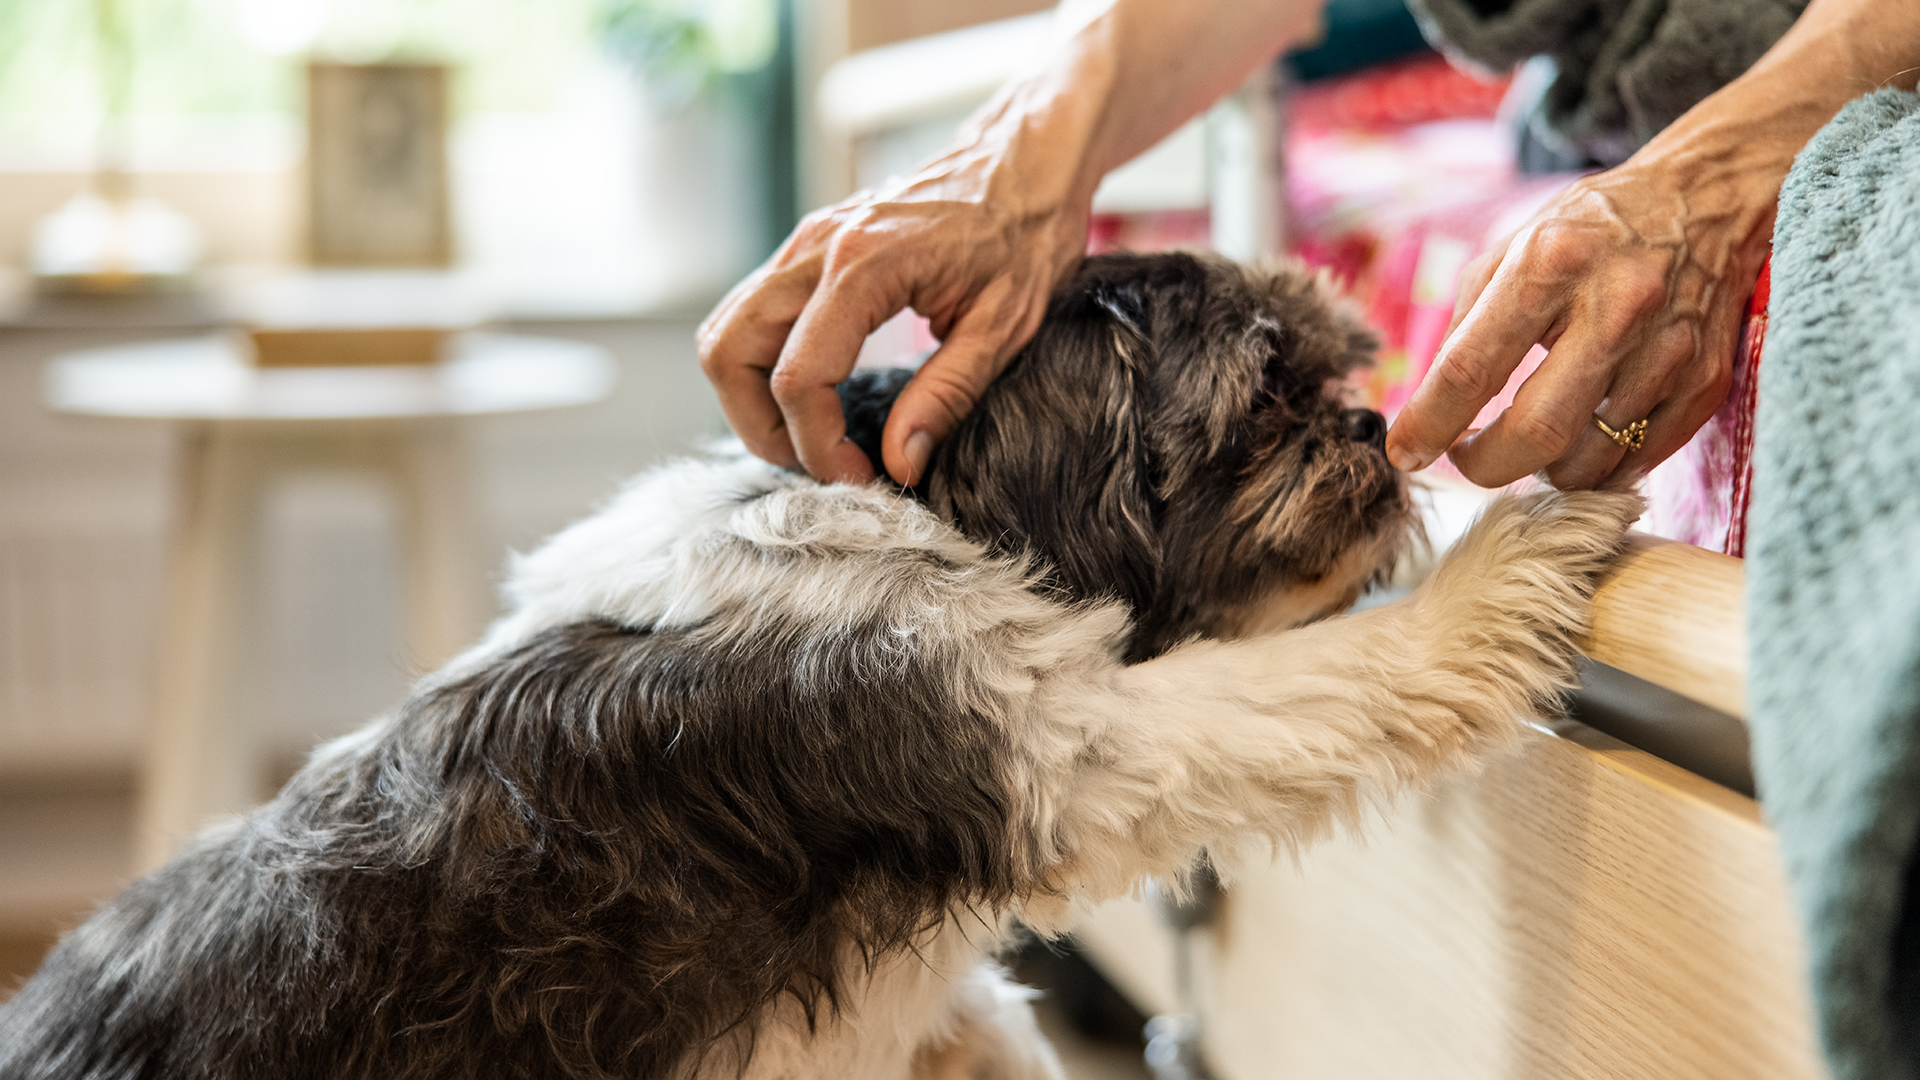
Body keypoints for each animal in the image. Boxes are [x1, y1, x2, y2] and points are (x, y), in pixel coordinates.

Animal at [0, 251, 1643, 1076]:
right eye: (1266, 391)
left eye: (1342, 365)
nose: (1370, 426)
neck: (921, 505)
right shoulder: (1075, 744)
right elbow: (1323, 681)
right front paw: (1522, 544)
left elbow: (989, 1035)